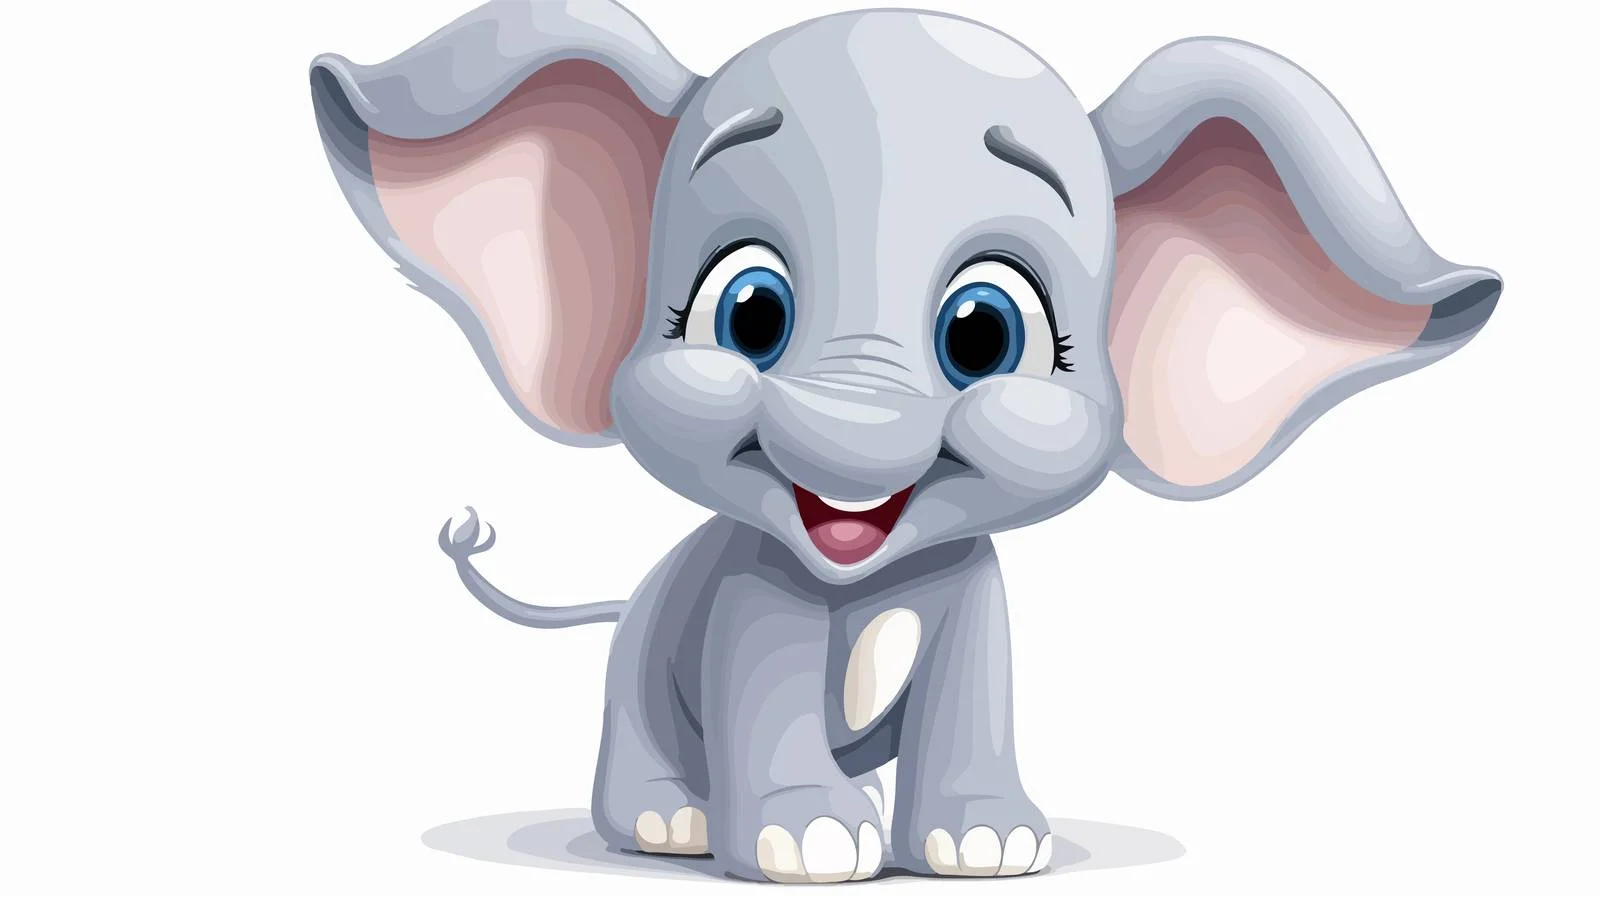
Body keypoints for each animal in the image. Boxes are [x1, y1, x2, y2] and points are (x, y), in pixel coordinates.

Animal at [308, 0, 1500, 882]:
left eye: (985, 332)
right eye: (747, 313)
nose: (847, 436)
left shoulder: (978, 594)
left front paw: (990, 843)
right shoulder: (750, 597)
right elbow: (766, 686)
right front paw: (814, 843)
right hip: (641, 654)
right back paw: (669, 829)